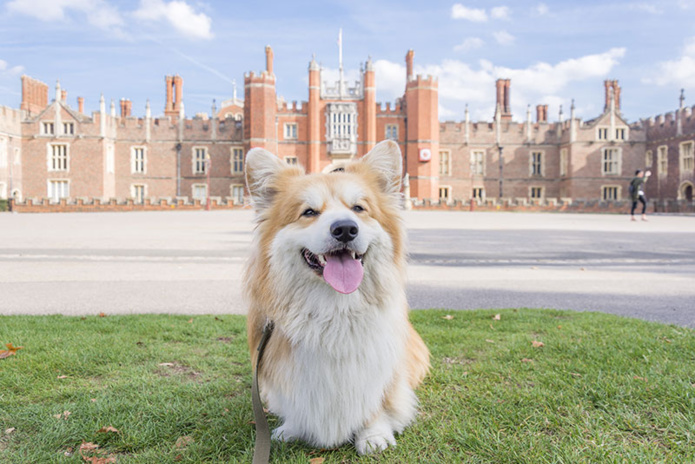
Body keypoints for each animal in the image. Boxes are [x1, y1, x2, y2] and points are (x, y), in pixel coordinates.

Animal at [245, 140, 430, 454]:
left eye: (359, 208)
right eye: (309, 212)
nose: (345, 228)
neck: (335, 306)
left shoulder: (379, 366)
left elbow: (376, 402)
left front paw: (373, 434)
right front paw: (292, 428)